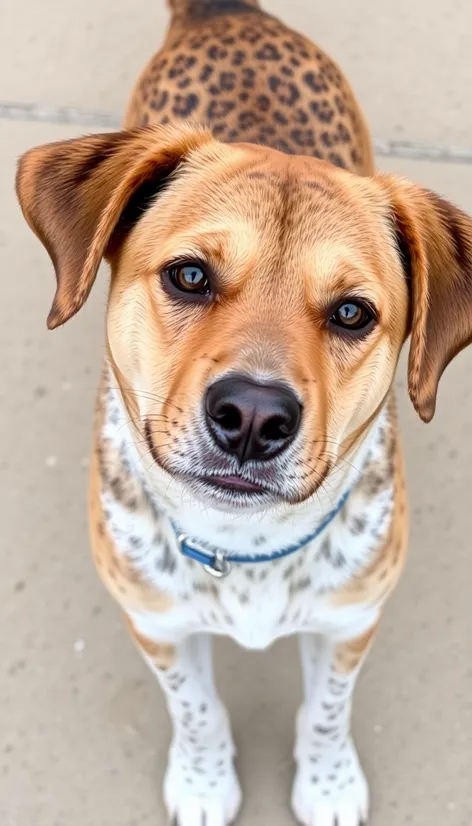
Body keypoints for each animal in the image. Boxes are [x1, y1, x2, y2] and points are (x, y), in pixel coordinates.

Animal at [14, 1, 472, 824]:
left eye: (353, 313)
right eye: (190, 275)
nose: (254, 417)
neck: (245, 547)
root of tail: (224, 11)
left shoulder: (351, 620)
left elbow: (327, 710)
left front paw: (328, 784)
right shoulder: (156, 625)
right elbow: (195, 708)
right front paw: (202, 782)